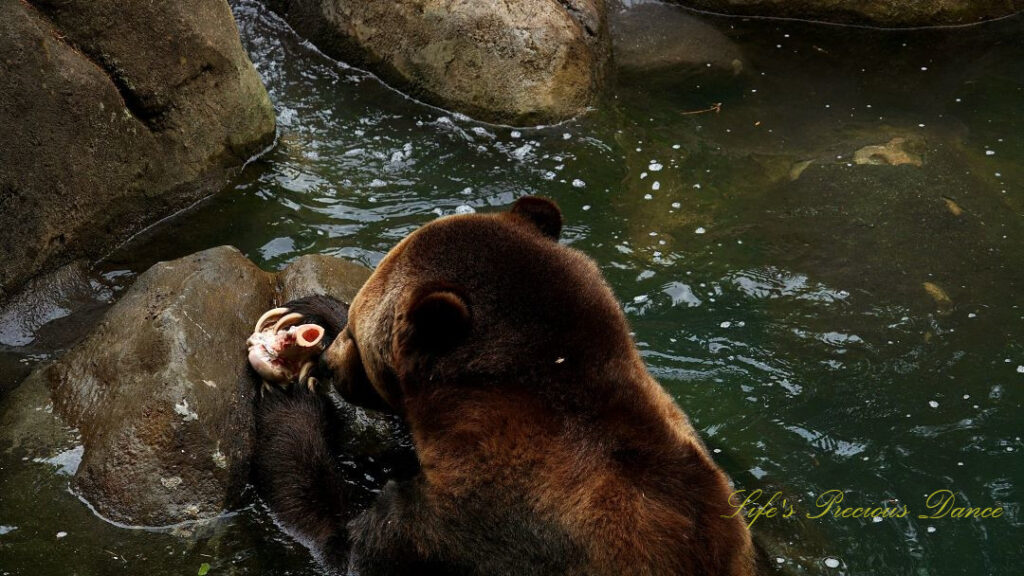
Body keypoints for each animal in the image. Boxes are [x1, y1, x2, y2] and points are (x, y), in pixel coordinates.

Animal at [251, 196, 757, 573]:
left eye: (359, 334)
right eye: (353, 322)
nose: (332, 363)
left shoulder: (478, 521)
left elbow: (347, 542)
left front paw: (289, 392)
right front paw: (312, 311)